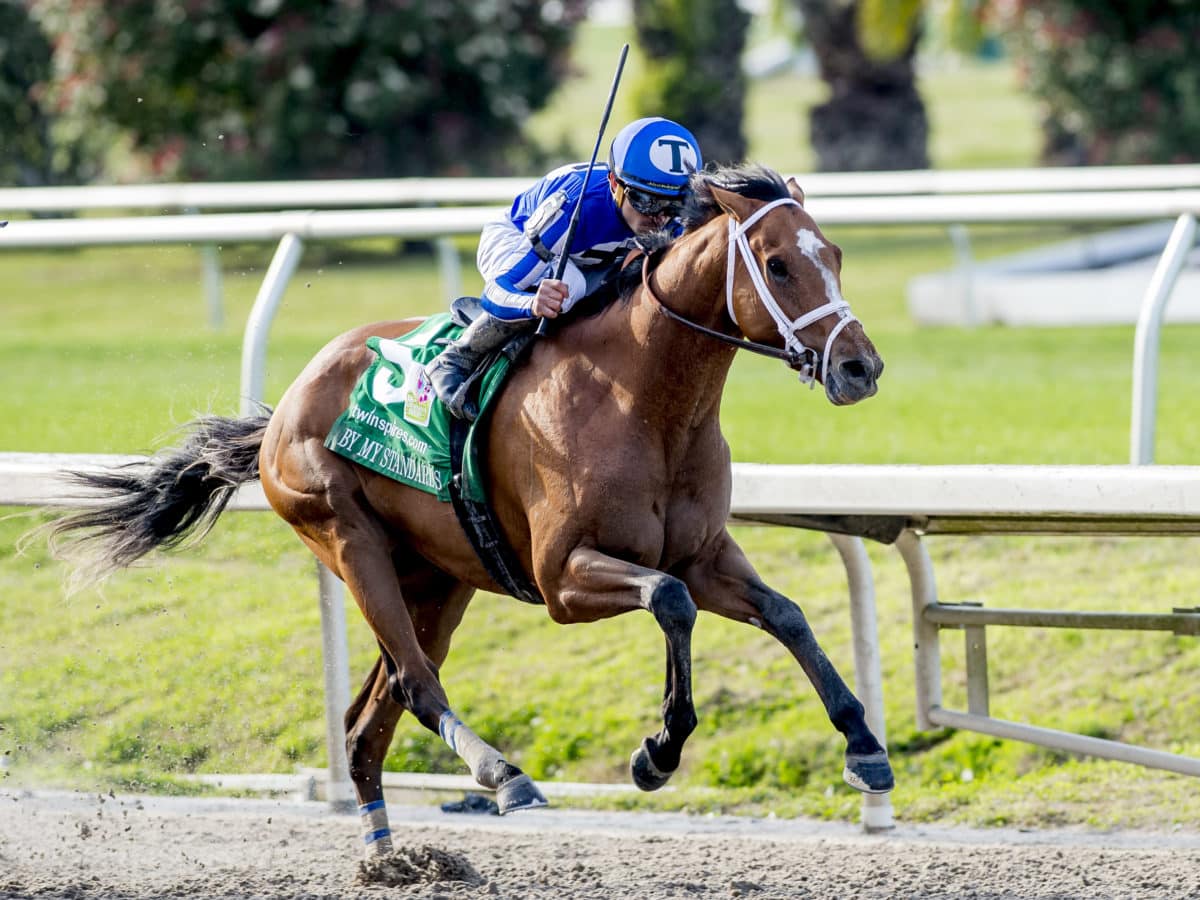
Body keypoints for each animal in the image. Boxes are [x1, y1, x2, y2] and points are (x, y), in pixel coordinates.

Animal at [49, 165, 892, 864]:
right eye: (778, 264)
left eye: (835, 254)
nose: (861, 367)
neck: (644, 402)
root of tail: (287, 403)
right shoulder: (563, 579)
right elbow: (669, 600)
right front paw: (656, 751)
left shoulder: (704, 552)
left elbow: (784, 614)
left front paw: (864, 746)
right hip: (347, 538)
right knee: (416, 685)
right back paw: (502, 774)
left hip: (438, 579)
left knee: (366, 724)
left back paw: (389, 857)